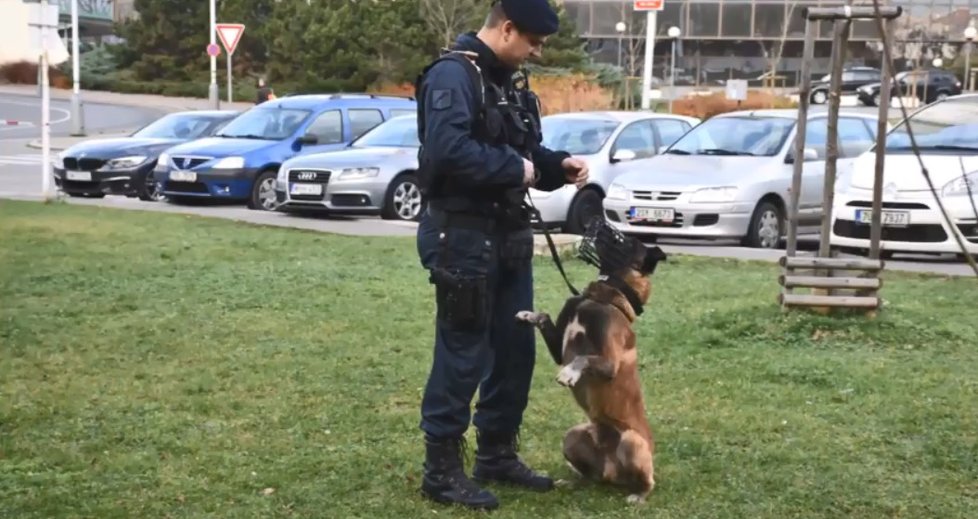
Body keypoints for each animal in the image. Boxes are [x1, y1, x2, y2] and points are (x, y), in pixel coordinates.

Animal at [510, 234, 664, 506]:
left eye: (625, 241)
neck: (602, 298)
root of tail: (612, 472)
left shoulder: (609, 363)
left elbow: (584, 358)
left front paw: (569, 373)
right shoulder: (559, 350)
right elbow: (544, 316)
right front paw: (528, 315)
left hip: (632, 442)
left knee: (648, 481)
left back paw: (639, 495)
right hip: (573, 435)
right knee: (590, 476)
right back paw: (573, 482)